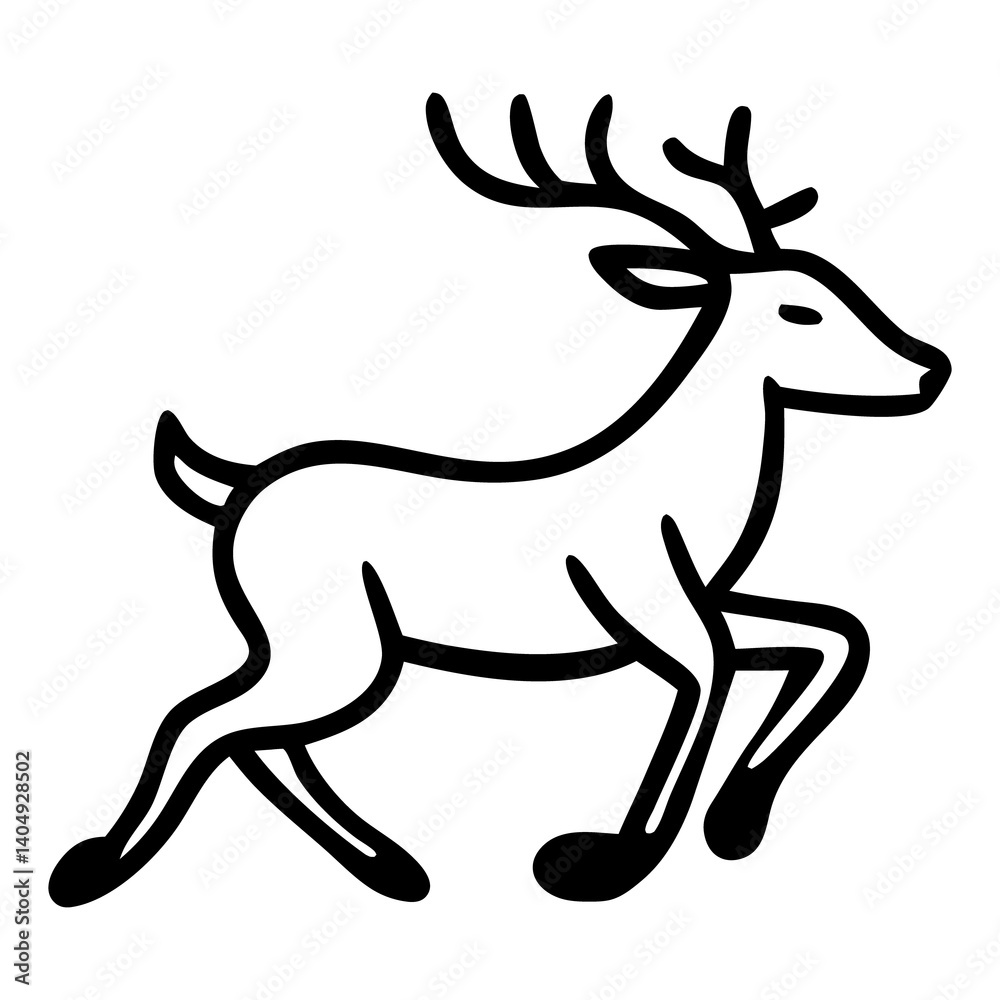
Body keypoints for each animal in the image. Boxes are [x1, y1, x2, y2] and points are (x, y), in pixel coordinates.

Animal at [49, 94, 950, 908]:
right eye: (801, 310)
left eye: (840, 284)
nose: (930, 370)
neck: (686, 494)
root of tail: (232, 490)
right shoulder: (647, 606)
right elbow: (713, 676)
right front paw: (604, 862)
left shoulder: (704, 596)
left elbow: (833, 639)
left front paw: (735, 822)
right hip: (338, 646)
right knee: (204, 717)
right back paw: (96, 868)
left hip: (326, 645)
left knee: (261, 737)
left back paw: (389, 865)